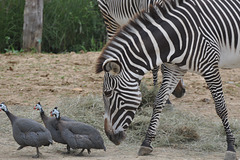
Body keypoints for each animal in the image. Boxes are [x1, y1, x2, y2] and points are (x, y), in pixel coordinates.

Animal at [95, 0, 240, 158]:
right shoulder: (174, 70)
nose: (109, 136)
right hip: (109, 17)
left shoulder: (210, 67)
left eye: (108, 93)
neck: (179, 36)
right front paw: (146, 143)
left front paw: (231, 146)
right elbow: (158, 102)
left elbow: (221, 107)